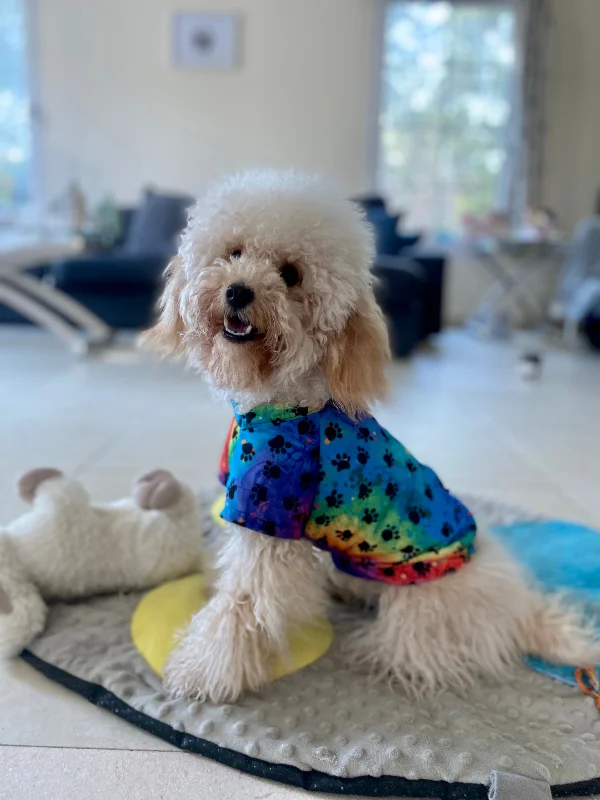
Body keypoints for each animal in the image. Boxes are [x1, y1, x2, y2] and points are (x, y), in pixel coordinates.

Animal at [142, 169, 600, 700]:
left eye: (291, 274)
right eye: (233, 252)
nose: (238, 291)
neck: (283, 400)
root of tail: (519, 609)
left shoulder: (269, 522)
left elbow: (243, 604)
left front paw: (200, 670)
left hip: (416, 609)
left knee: (414, 650)